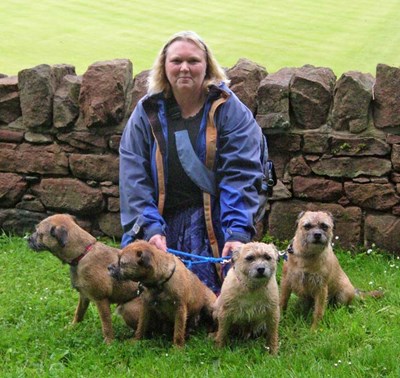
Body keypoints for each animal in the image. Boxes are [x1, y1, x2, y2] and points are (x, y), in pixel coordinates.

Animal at [28, 214, 141, 344]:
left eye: (39, 233)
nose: (28, 239)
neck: (83, 253)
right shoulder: (84, 296)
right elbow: (78, 314)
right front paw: (72, 327)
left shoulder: (101, 299)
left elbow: (106, 324)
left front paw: (109, 342)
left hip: (128, 308)